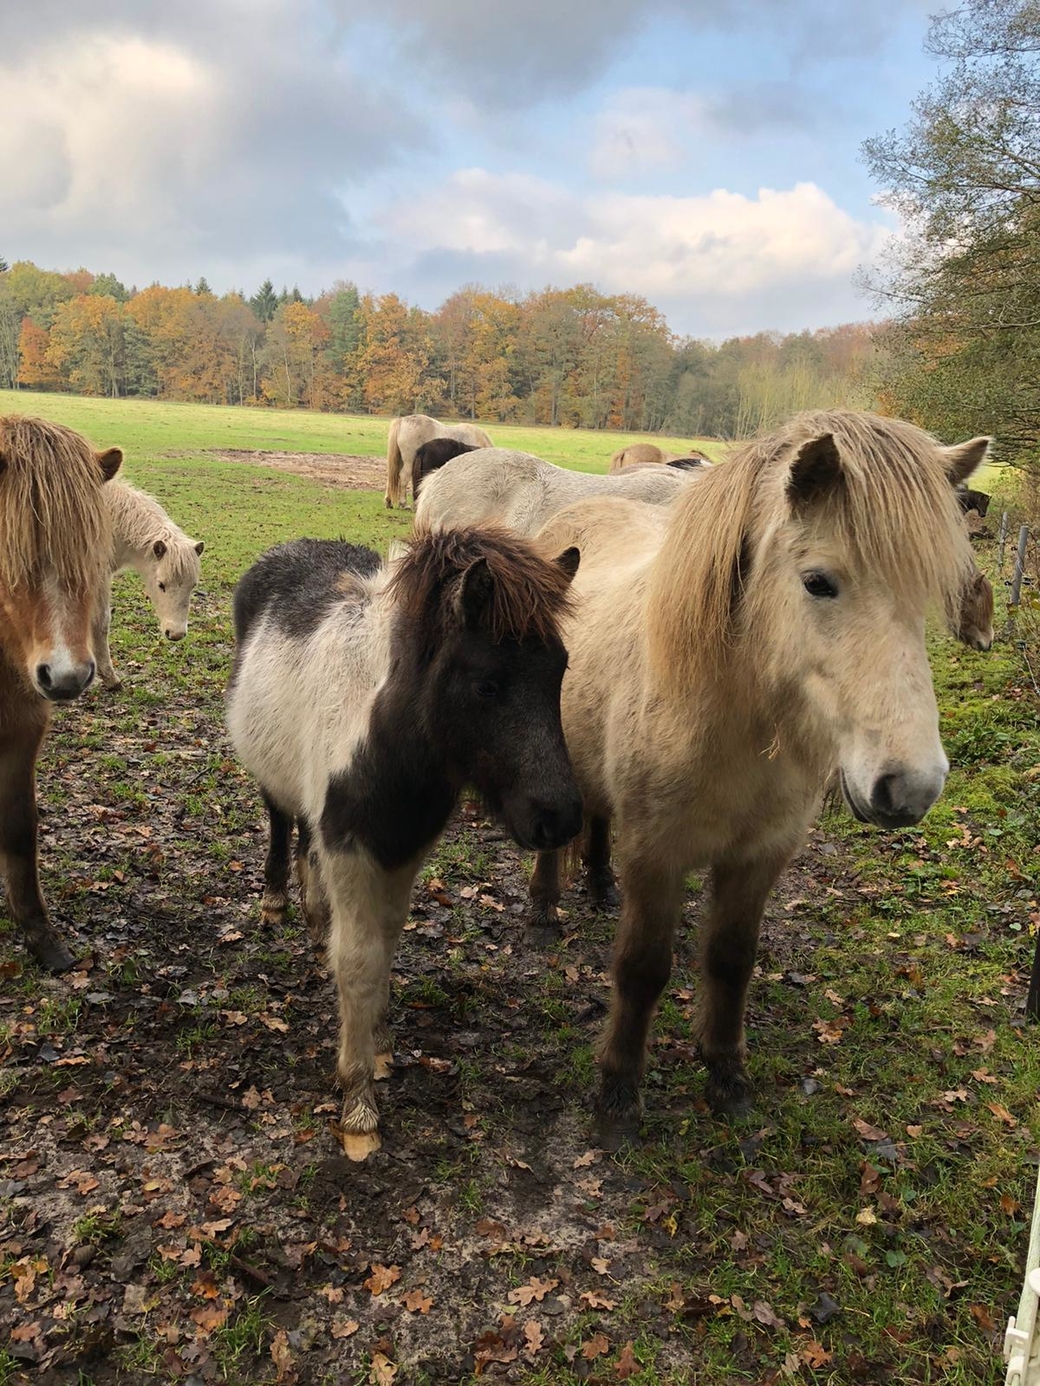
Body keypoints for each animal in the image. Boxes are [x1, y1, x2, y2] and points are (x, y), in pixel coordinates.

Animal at [227, 529, 582, 1158]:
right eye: (488, 683)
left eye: (559, 671)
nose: (559, 820)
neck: (386, 733)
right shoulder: (351, 851)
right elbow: (359, 959)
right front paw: (358, 1101)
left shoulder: (403, 849)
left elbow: (387, 942)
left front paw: (381, 1042)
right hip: (273, 777)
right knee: (280, 820)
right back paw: (275, 902)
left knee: (304, 837)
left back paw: (315, 920)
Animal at [532, 410, 987, 1147]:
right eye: (819, 581)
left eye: (926, 595)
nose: (910, 787)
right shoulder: (657, 854)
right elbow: (642, 969)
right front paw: (618, 1093)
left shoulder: (760, 857)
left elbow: (730, 961)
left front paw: (725, 1075)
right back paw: (544, 908)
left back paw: (598, 886)